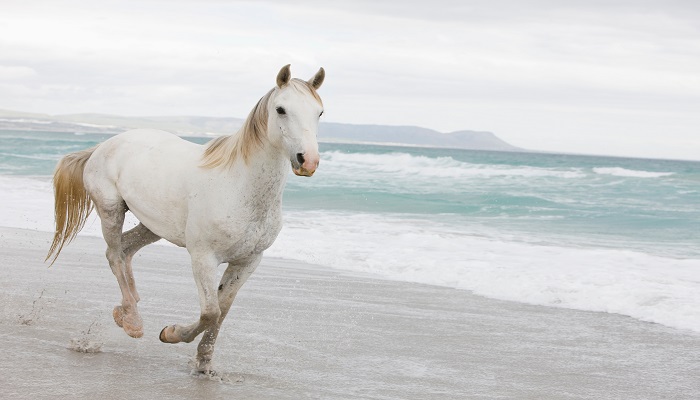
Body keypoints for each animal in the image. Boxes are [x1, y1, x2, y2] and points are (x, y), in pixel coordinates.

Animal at [46, 64, 326, 374]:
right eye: (281, 109)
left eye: (319, 112)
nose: (308, 160)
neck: (239, 185)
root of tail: (103, 145)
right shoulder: (203, 257)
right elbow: (211, 312)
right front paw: (170, 333)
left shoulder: (248, 262)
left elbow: (223, 310)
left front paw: (204, 363)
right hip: (111, 210)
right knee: (114, 254)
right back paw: (132, 321)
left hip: (153, 225)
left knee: (126, 248)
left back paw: (127, 309)